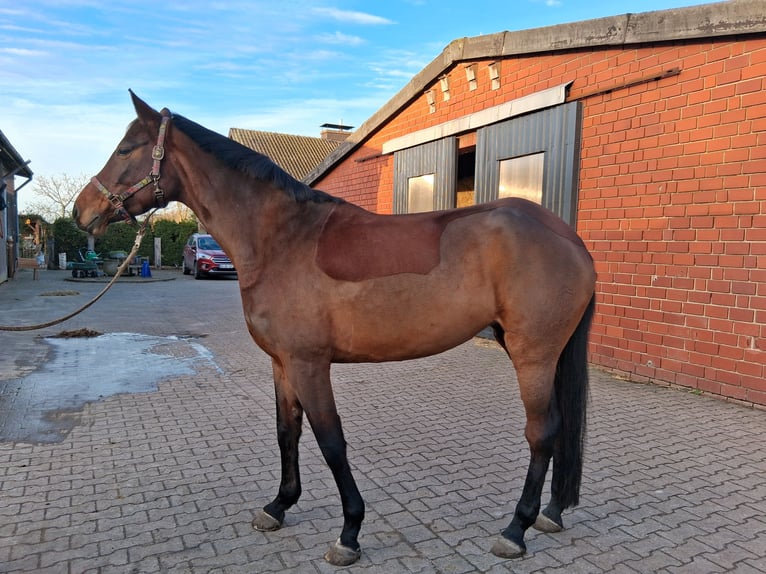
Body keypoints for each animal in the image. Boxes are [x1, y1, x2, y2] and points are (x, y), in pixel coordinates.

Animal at [73, 92, 596, 566]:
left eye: (126, 149)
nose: (82, 212)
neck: (282, 239)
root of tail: (568, 237)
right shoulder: (283, 363)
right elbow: (287, 432)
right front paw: (279, 506)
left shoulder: (309, 364)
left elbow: (330, 441)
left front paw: (349, 532)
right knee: (559, 428)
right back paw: (550, 513)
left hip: (533, 354)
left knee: (542, 432)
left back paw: (516, 529)